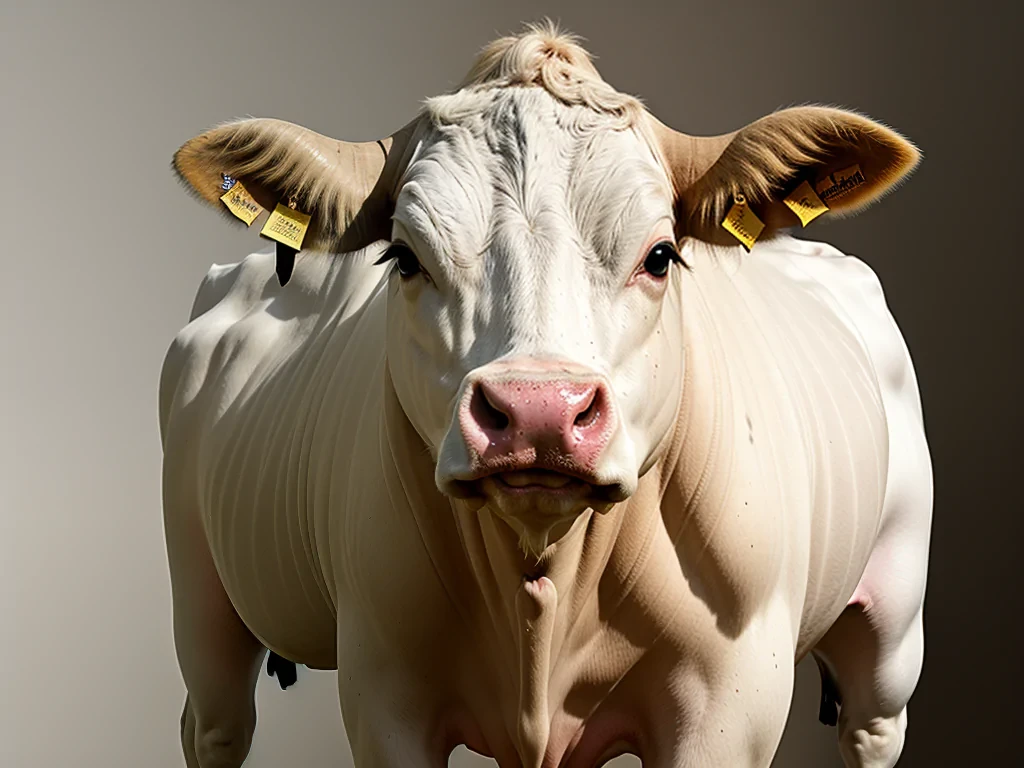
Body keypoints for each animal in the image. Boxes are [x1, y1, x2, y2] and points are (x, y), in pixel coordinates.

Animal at [161, 23, 933, 768]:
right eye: (405, 258)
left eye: (661, 256)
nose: (538, 413)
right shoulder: (383, 688)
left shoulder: (731, 701)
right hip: (199, 598)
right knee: (215, 726)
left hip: (893, 622)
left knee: (872, 725)